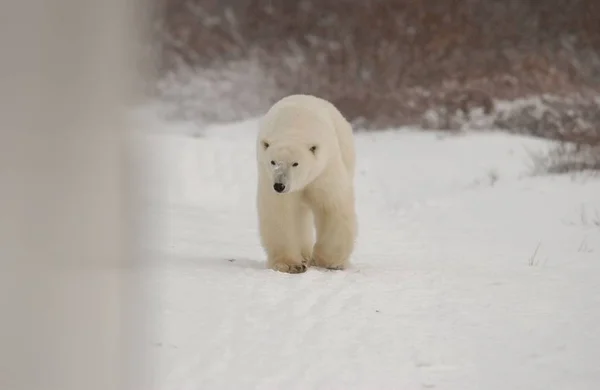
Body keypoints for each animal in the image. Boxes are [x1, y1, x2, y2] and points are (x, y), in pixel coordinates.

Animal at [254, 93, 356, 274]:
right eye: (273, 162)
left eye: (295, 163)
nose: (279, 185)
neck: (294, 127)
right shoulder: (269, 178)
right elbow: (280, 212)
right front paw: (290, 264)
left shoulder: (323, 170)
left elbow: (331, 207)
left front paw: (330, 261)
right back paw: (303, 255)